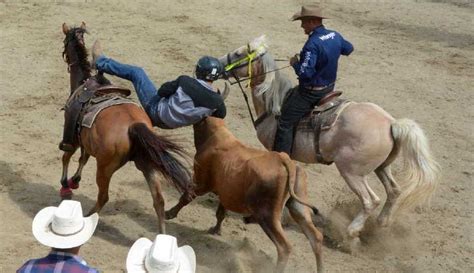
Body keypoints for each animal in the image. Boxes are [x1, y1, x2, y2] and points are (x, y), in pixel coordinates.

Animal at [59, 22, 193, 233]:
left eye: (64, 42)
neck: (83, 83)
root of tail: (133, 126)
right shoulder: (85, 140)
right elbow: (83, 158)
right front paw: (75, 180)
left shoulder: (72, 132)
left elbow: (67, 156)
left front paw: (66, 185)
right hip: (147, 163)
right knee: (159, 201)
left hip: (105, 169)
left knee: (103, 197)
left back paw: (88, 217)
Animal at [165, 117, 324, 272]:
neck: (212, 135)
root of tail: (284, 159)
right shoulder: (225, 192)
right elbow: (221, 212)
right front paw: (216, 230)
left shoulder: (200, 183)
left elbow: (186, 197)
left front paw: (169, 214)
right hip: (298, 208)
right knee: (316, 237)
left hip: (267, 214)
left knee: (284, 247)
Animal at [218, 35, 440, 249]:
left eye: (238, 53)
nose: (219, 64)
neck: (276, 105)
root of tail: (391, 123)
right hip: (382, 167)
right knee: (394, 191)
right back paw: (381, 224)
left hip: (351, 172)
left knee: (371, 201)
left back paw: (351, 235)